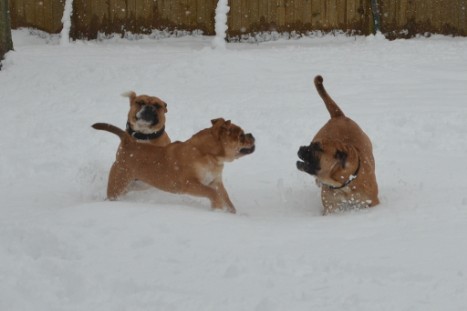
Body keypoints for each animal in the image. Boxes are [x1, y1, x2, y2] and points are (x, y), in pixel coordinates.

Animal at [92, 118, 256, 213]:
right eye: (241, 135)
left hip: (135, 185)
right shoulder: (190, 184)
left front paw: (232, 213)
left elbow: (226, 198)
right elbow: (212, 193)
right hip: (119, 185)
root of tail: (129, 143)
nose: (252, 135)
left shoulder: (215, 182)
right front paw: (217, 209)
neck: (208, 154)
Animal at [300, 76, 380, 217]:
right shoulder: (331, 207)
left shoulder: (372, 201)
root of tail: (339, 116)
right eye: (311, 144)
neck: (345, 182)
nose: (300, 148)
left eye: (318, 148)